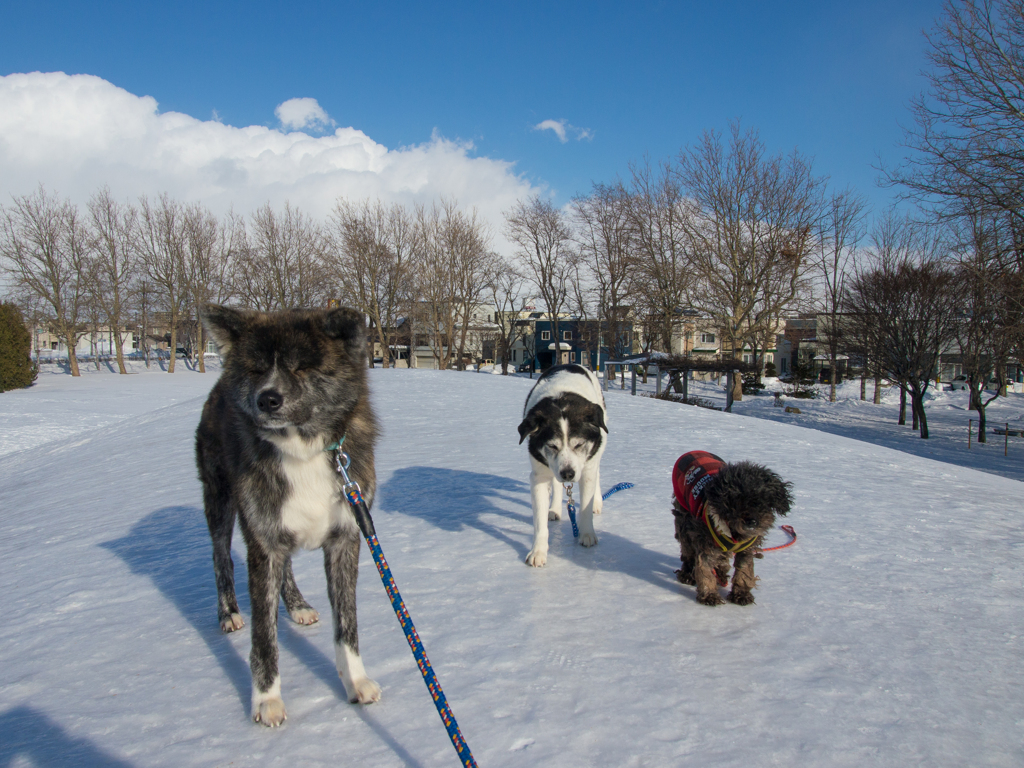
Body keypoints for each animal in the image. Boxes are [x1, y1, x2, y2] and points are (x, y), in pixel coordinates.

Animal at [194, 305, 380, 729]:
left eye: (302, 367)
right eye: (256, 369)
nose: (268, 399)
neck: (303, 449)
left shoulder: (345, 539)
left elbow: (348, 625)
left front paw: (355, 681)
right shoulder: (263, 542)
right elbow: (264, 636)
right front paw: (267, 700)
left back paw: (295, 604)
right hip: (219, 499)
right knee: (220, 555)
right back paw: (228, 612)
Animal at [516, 364, 602, 569]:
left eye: (579, 444)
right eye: (552, 446)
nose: (568, 474)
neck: (561, 400)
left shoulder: (587, 466)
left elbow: (585, 504)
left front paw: (587, 534)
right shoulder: (539, 475)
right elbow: (539, 520)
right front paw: (538, 551)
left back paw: (597, 501)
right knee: (555, 484)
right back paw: (554, 509)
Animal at [671, 450, 790, 606]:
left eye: (764, 500)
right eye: (737, 500)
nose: (752, 522)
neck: (734, 532)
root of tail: (693, 452)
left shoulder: (746, 548)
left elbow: (744, 569)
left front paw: (741, 594)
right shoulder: (705, 542)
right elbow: (705, 568)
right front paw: (709, 595)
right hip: (683, 520)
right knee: (688, 551)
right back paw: (687, 574)